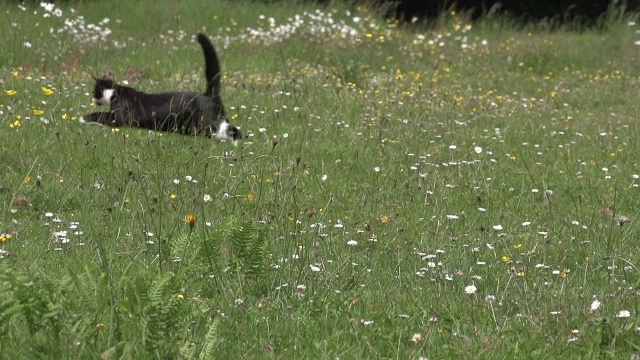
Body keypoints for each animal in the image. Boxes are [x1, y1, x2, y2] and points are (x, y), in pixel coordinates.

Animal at [80, 32, 240, 142]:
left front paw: (83, 118)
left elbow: (100, 115)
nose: (92, 99)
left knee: (226, 131)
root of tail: (209, 94)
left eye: (95, 91)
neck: (116, 93)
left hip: (204, 123)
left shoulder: (118, 118)